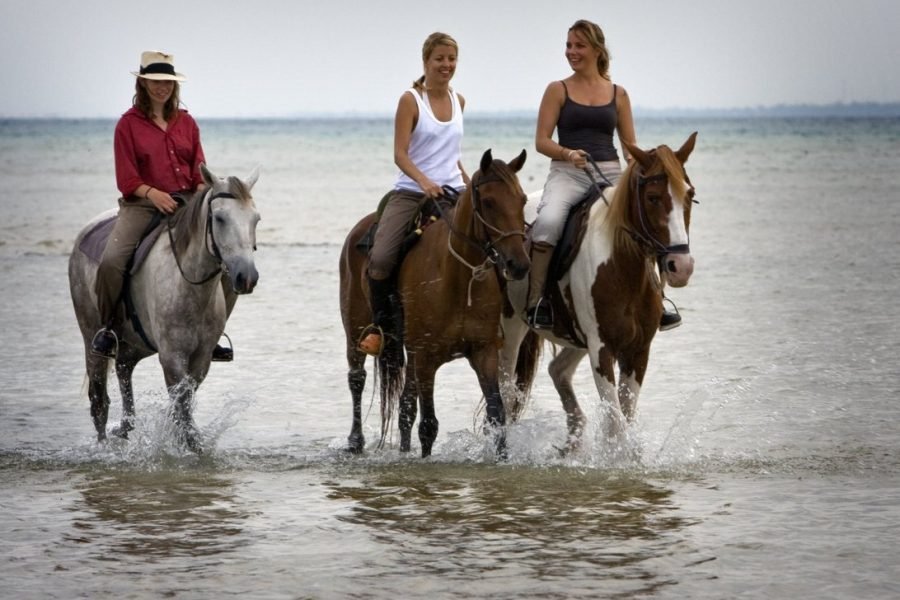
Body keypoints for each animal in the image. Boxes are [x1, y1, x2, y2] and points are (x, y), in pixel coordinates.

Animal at [68, 164, 261, 452]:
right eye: (219, 218)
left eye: (255, 219)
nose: (247, 277)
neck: (188, 285)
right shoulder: (172, 357)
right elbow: (182, 411)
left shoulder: (201, 358)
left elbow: (182, 406)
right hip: (91, 338)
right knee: (99, 400)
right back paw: (104, 448)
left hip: (135, 344)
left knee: (124, 369)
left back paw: (124, 429)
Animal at [340, 149, 530, 458]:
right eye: (489, 202)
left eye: (522, 199)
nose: (519, 265)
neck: (458, 278)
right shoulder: (427, 357)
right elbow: (429, 424)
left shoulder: (484, 352)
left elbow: (496, 414)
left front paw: (502, 458)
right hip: (356, 329)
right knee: (357, 378)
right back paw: (355, 441)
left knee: (405, 406)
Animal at [500, 133, 698, 453]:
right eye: (653, 198)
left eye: (689, 195)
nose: (681, 267)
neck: (622, 266)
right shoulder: (602, 349)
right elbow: (616, 423)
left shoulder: (638, 351)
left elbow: (624, 418)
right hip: (513, 327)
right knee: (505, 390)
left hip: (575, 337)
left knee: (558, 369)